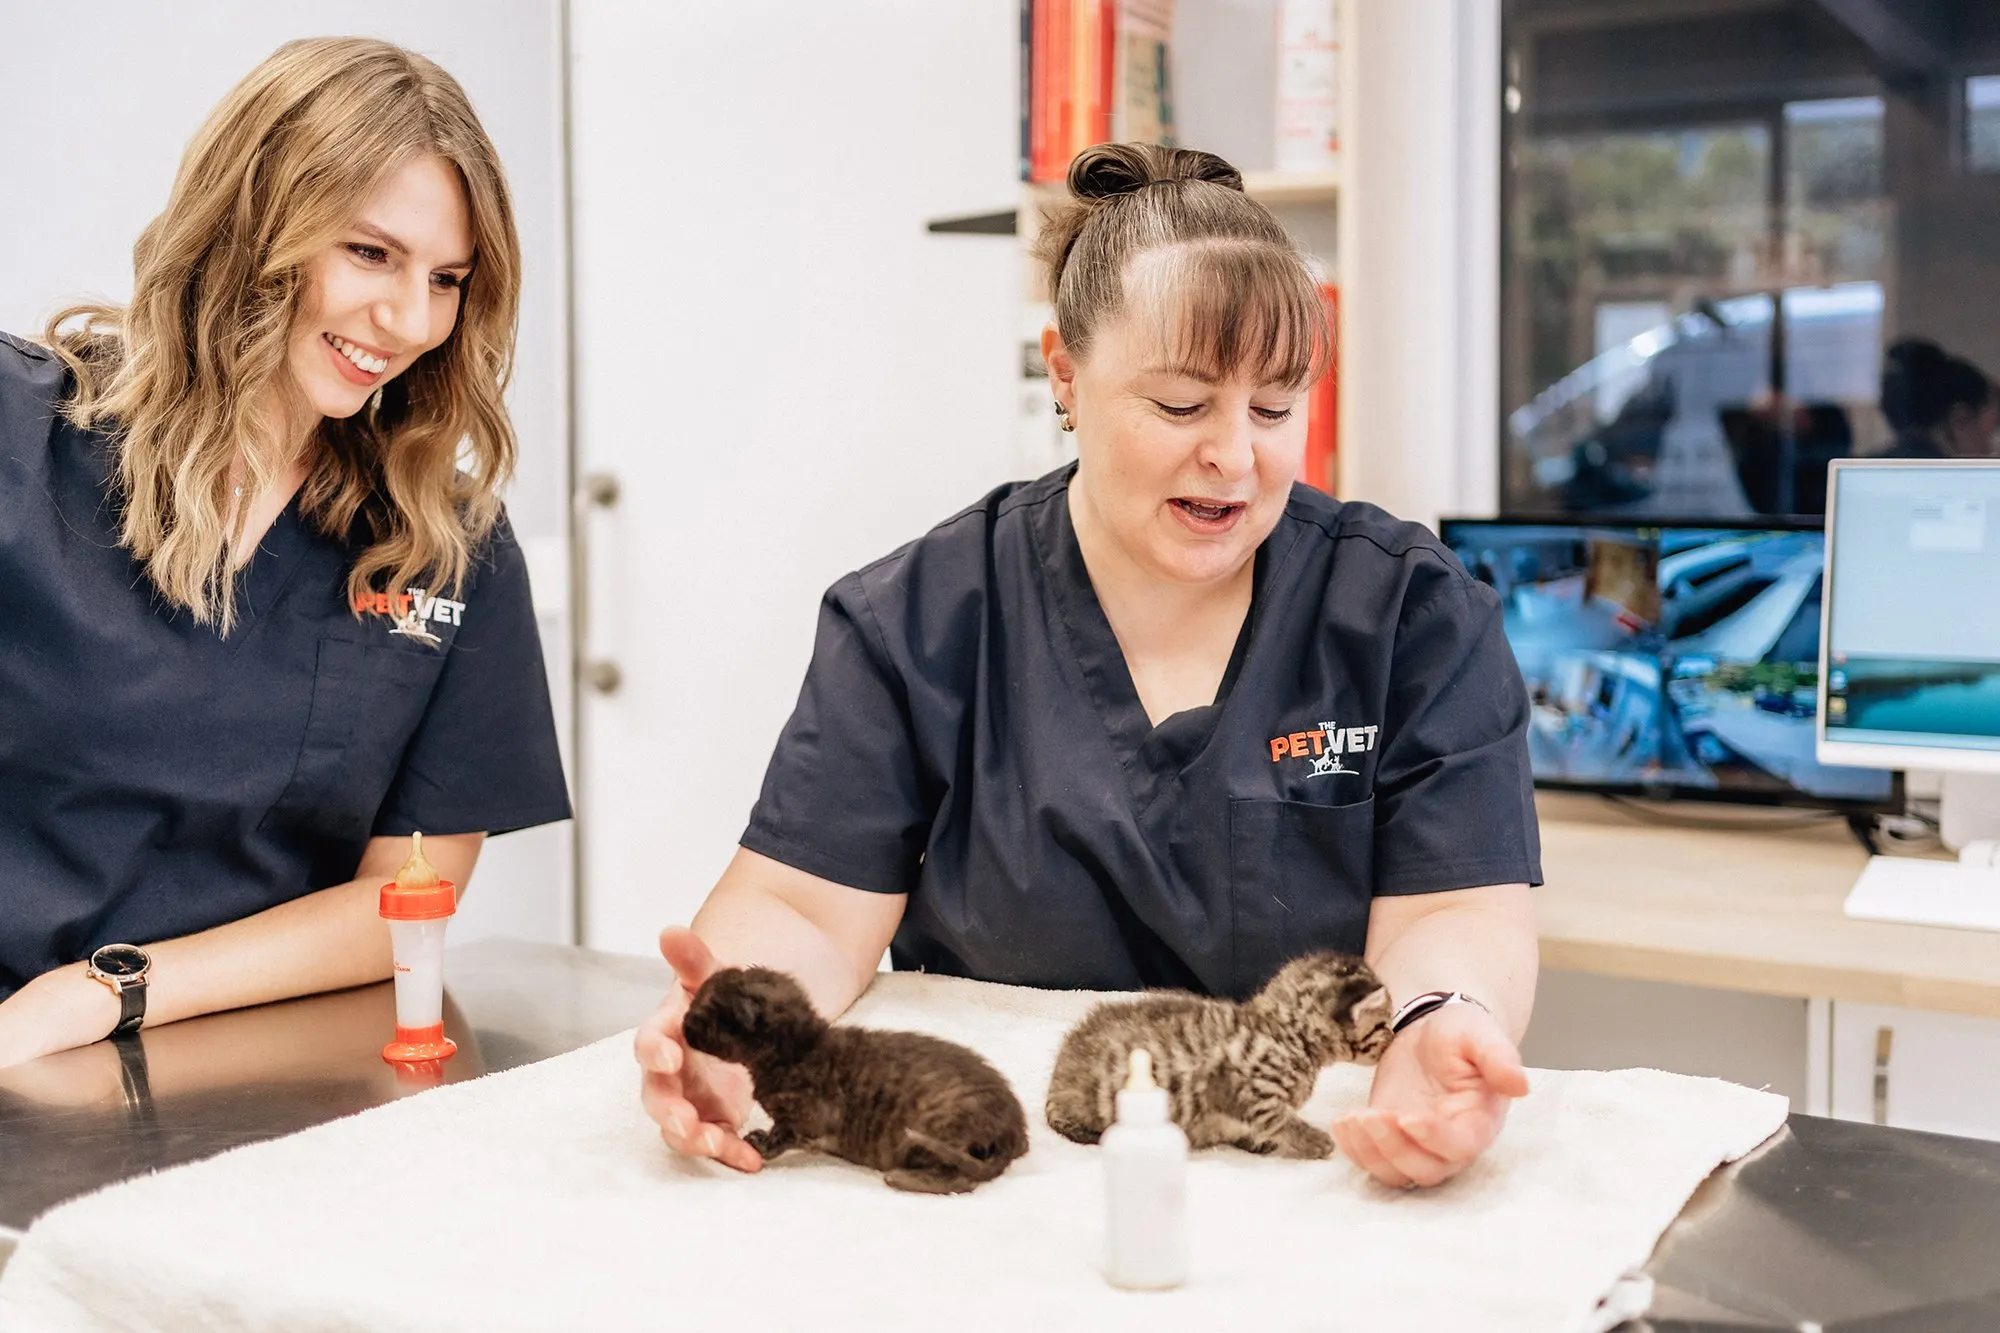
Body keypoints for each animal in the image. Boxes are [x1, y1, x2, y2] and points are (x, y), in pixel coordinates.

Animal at [688, 960, 1032, 1184]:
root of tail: (1015, 1131)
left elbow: (782, 1136)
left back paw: (903, 1178)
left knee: (961, 1177)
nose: (683, 1025)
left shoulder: (805, 1119)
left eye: (701, 1015)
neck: (799, 1049)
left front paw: (759, 1143)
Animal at [1048, 948, 1392, 1160]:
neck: (1286, 1034)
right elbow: (1280, 1120)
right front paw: (1315, 1141)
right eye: (1383, 1024)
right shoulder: (1249, 1092)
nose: (1392, 1036)